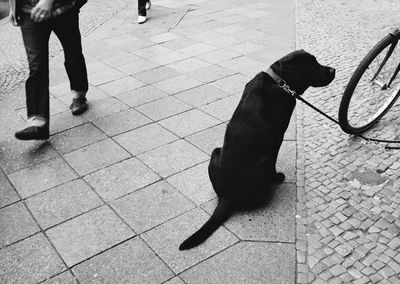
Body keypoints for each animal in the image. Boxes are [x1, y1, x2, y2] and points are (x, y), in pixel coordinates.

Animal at [179, 49, 334, 251]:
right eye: (312, 66)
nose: (333, 70)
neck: (277, 80)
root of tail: (226, 197)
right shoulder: (277, 138)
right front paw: (278, 177)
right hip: (262, 164)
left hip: (215, 151)